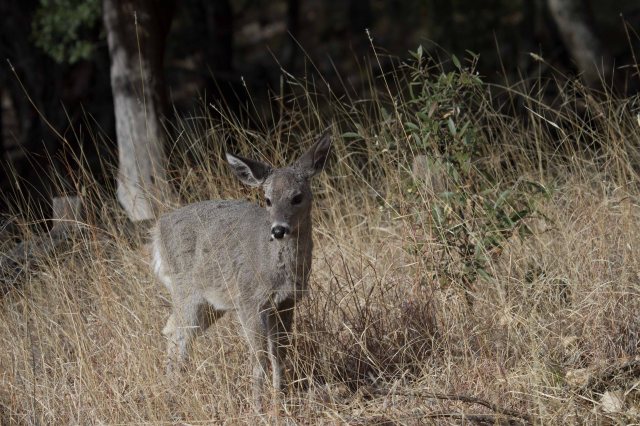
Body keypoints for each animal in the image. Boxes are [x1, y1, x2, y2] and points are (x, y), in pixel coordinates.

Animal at [151, 132, 332, 409]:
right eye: (267, 199)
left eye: (297, 197)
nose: (278, 230)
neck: (275, 269)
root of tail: (158, 230)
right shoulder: (249, 301)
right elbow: (259, 359)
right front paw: (258, 407)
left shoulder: (285, 302)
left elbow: (278, 354)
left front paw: (280, 400)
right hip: (187, 291)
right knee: (178, 333)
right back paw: (174, 392)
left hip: (211, 304)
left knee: (173, 329)